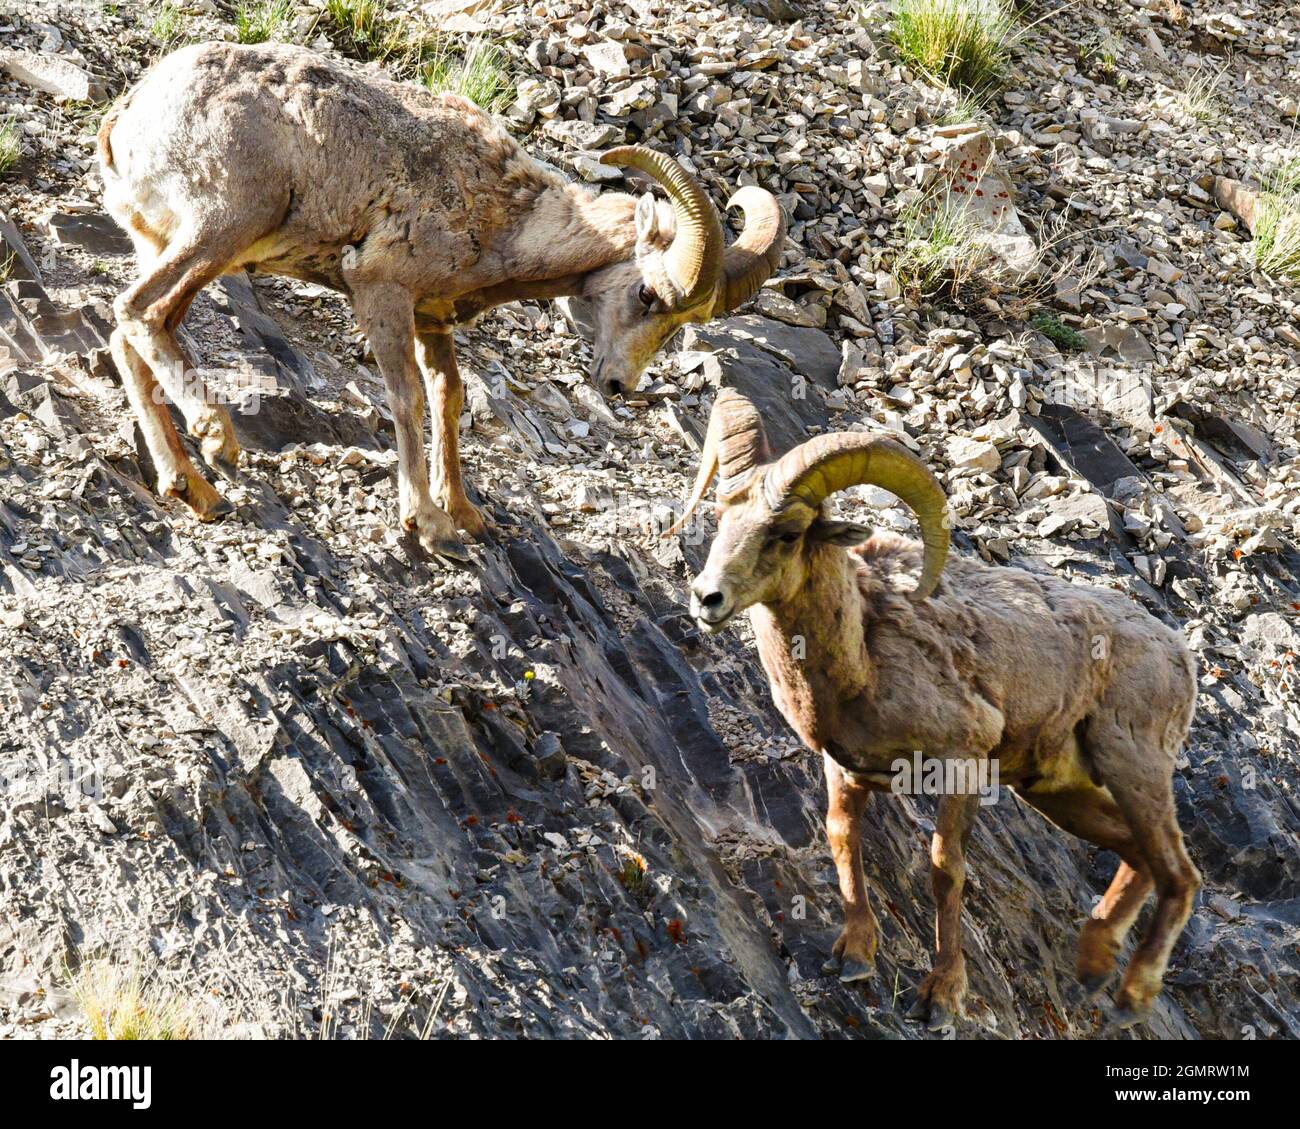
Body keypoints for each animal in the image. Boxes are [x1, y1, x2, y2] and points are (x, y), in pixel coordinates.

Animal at [97, 41, 784, 560]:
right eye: (646, 293)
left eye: (682, 324)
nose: (618, 385)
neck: (502, 216)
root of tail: (127, 118)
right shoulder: (382, 294)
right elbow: (405, 398)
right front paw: (429, 526)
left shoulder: (432, 321)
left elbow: (447, 398)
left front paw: (466, 514)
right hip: (223, 228)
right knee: (140, 312)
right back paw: (218, 441)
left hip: (167, 244)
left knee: (130, 337)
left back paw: (192, 489)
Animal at [670, 389, 1201, 1030]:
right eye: (723, 515)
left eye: (788, 533)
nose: (707, 598)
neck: (861, 657)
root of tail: (1177, 652)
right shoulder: (845, 768)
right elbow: (843, 839)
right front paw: (855, 957)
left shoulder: (960, 764)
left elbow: (946, 870)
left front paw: (941, 997)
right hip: (1057, 790)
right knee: (1137, 855)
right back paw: (1094, 967)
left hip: (1133, 766)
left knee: (1178, 873)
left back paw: (1130, 997)